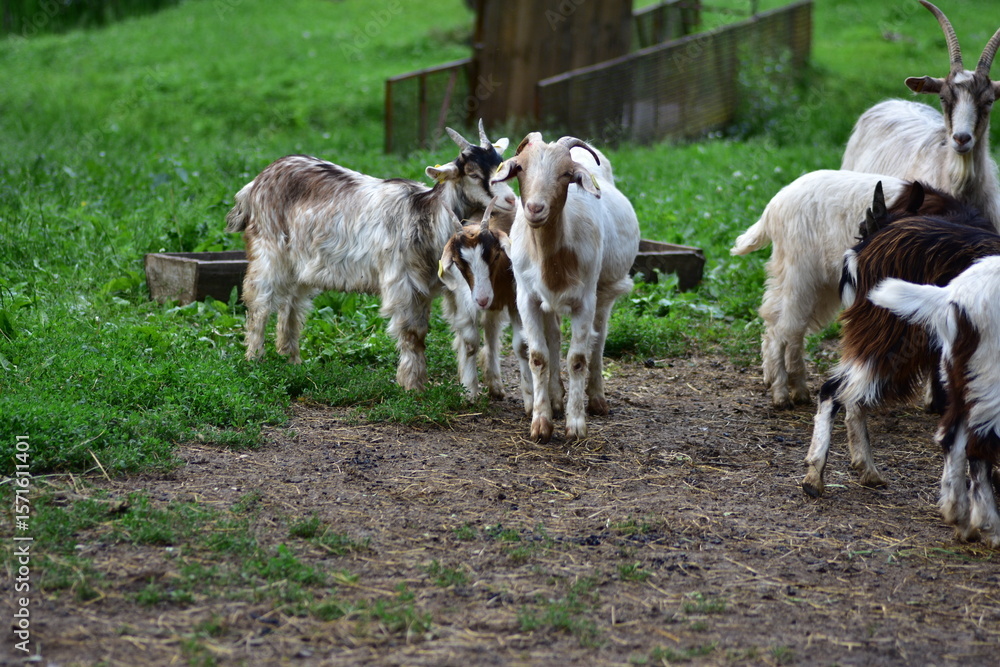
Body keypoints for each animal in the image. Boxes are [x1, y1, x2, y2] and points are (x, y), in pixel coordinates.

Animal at [225, 121, 517, 390]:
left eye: (502, 166)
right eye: (473, 174)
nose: (512, 200)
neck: (424, 214)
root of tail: (255, 183)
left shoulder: (426, 286)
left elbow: (424, 331)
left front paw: (419, 381)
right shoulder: (402, 282)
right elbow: (412, 333)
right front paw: (411, 385)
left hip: (300, 263)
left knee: (292, 304)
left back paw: (291, 358)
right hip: (268, 251)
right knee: (259, 300)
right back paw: (255, 358)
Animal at [438, 196, 530, 403]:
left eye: (496, 255)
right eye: (458, 263)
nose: (482, 300)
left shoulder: (514, 300)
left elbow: (521, 345)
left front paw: (531, 397)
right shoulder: (465, 299)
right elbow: (470, 342)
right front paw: (469, 391)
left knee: (492, 333)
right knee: (489, 331)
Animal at [492, 133, 640, 443]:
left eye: (566, 174)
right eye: (520, 168)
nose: (535, 208)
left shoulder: (585, 299)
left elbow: (577, 359)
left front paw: (576, 425)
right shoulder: (527, 298)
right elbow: (539, 356)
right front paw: (541, 423)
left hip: (605, 290)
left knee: (598, 340)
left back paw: (596, 399)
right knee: (554, 337)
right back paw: (556, 399)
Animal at [803, 182, 1000, 497]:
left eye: (863, 225)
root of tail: (862, 255)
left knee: (850, 392)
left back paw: (864, 469)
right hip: (894, 337)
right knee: (835, 389)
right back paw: (815, 475)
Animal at [870, 255, 1000, 546]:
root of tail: (952, 296)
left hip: (963, 379)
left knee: (953, 440)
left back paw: (960, 518)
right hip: (990, 381)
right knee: (978, 449)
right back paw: (990, 527)